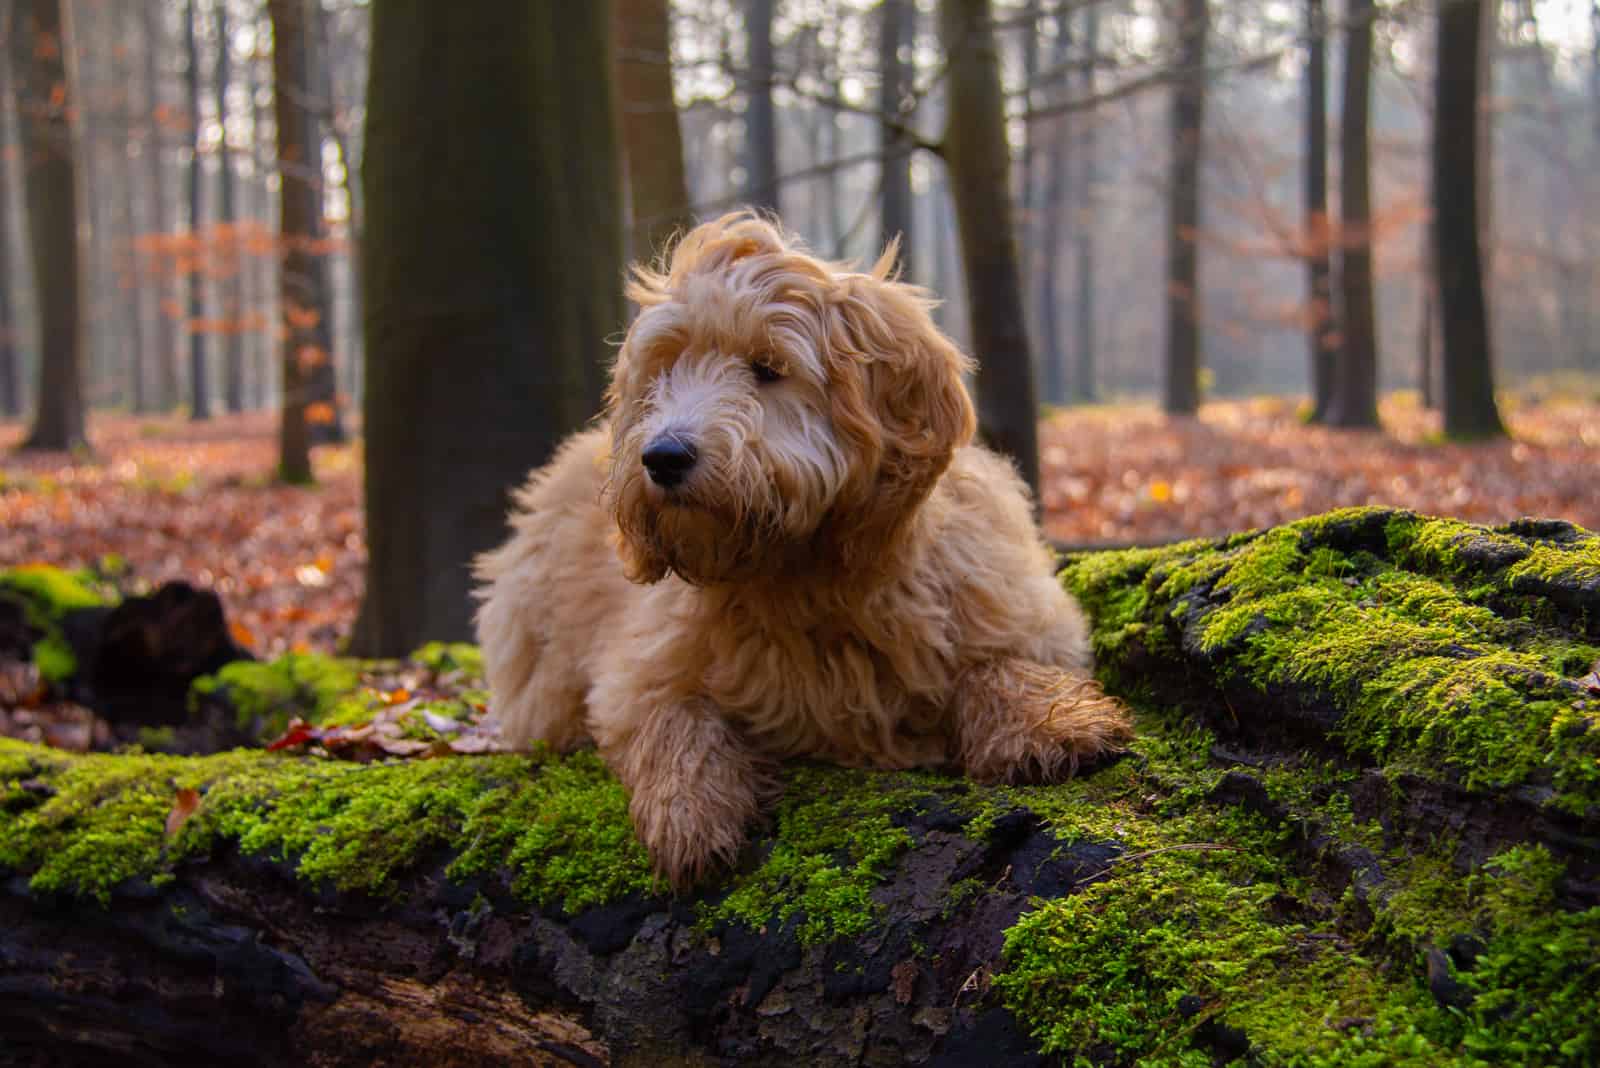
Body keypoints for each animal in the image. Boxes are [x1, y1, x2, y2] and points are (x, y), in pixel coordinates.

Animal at [476, 212, 1139, 888]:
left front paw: (1049, 724)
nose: (662, 456)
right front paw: (689, 807)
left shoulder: (1010, 599)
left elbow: (1002, 659)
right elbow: (671, 713)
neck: (803, 572)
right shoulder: (640, 663)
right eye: (664, 371)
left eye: (767, 368)